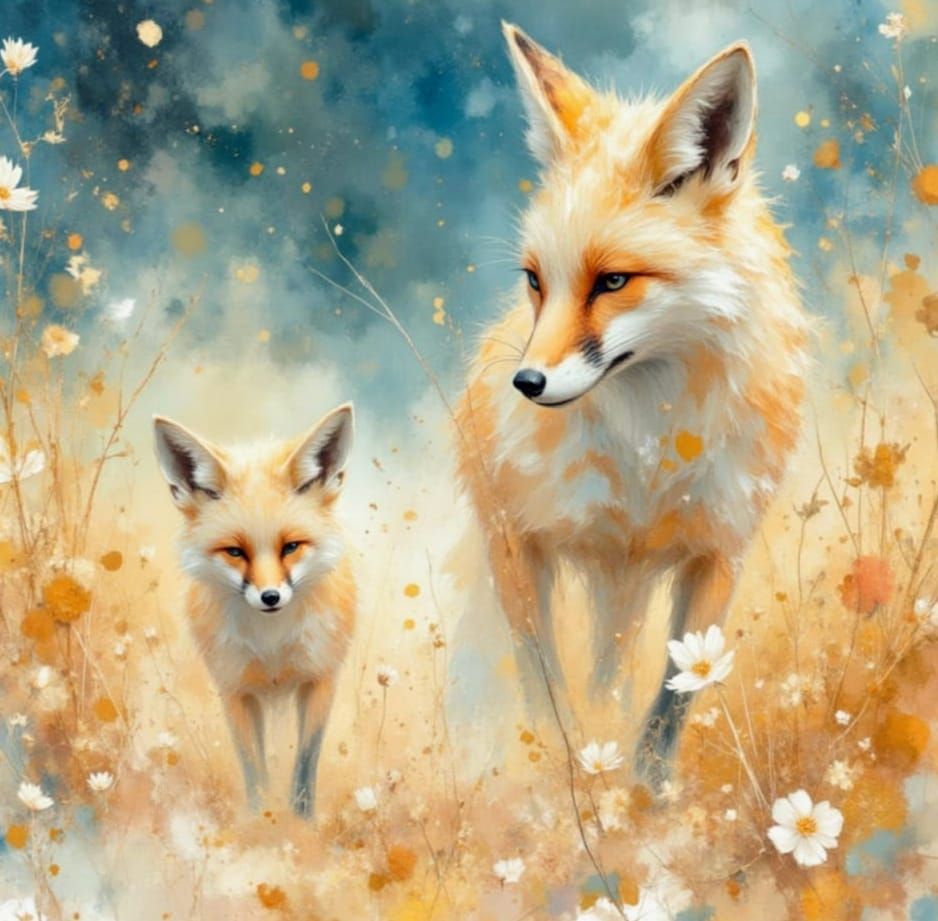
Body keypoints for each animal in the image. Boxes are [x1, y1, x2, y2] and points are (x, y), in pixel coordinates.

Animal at [153, 404, 356, 817]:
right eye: (235, 551)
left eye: (291, 546)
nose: (270, 597)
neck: (272, 644)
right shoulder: (235, 690)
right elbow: (254, 769)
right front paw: (260, 820)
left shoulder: (321, 679)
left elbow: (305, 763)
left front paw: (302, 821)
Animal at [455, 24, 806, 785]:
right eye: (536, 281)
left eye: (613, 281)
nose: (526, 383)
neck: (648, 451)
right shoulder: (518, 541)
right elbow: (545, 683)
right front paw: (565, 774)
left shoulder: (719, 549)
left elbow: (678, 690)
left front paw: (645, 787)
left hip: (631, 585)